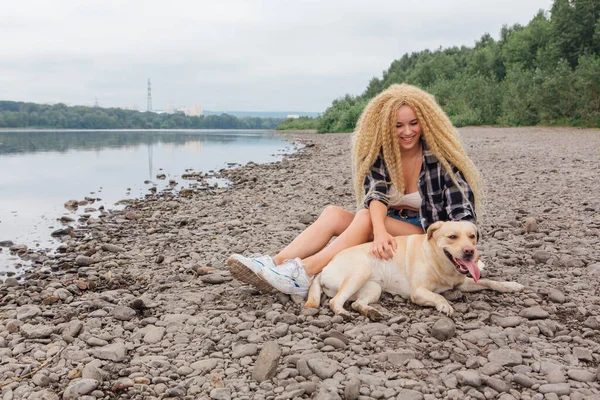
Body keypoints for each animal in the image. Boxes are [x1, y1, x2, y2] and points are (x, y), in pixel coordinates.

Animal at [304, 220, 524, 320]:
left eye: (472, 236)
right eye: (452, 237)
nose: (470, 252)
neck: (437, 259)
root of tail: (325, 267)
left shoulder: (463, 283)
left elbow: (489, 281)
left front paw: (511, 285)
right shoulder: (418, 292)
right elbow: (438, 296)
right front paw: (444, 305)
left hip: (373, 288)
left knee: (358, 303)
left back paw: (371, 312)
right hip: (360, 272)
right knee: (335, 301)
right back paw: (344, 313)